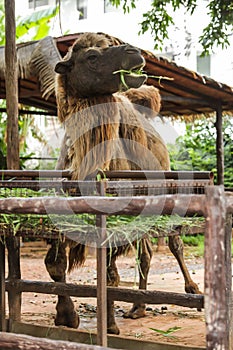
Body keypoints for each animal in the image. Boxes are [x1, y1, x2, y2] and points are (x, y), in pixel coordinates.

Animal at [44, 32, 201, 334]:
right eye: (92, 56)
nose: (134, 51)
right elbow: (55, 263)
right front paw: (65, 316)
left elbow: (110, 275)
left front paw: (109, 326)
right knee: (147, 252)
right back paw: (137, 307)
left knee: (173, 241)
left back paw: (192, 290)